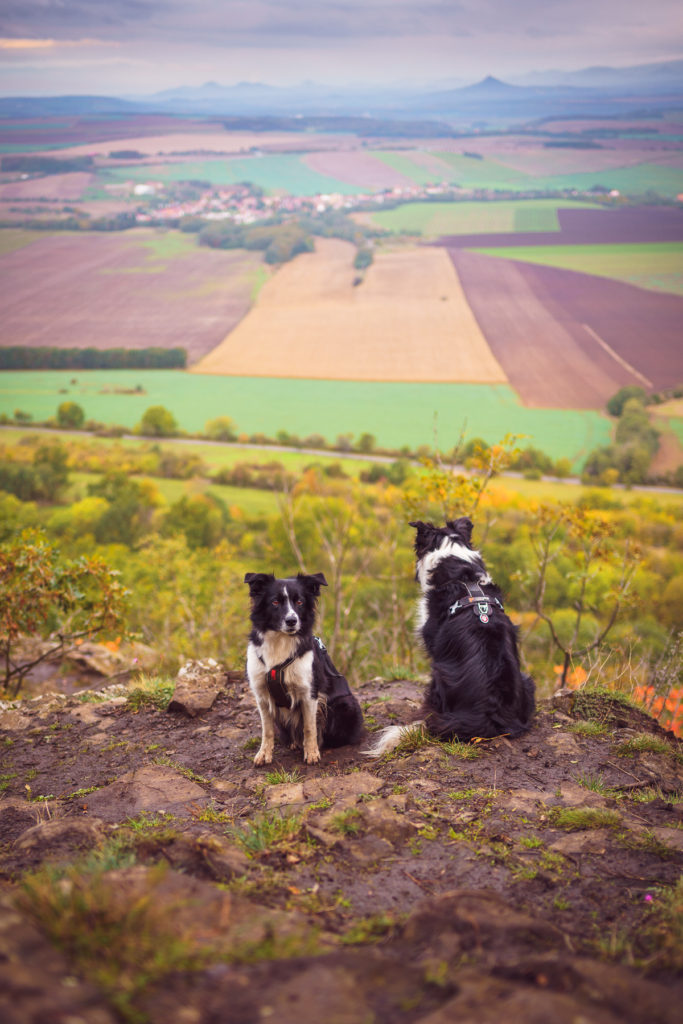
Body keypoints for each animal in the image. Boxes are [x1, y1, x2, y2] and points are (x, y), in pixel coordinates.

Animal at [244, 573, 362, 765]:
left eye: (299, 602)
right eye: (275, 602)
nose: (292, 621)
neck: (281, 642)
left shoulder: (309, 692)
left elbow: (309, 727)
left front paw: (312, 752)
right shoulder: (261, 694)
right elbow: (267, 730)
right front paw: (264, 754)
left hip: (345, 705)